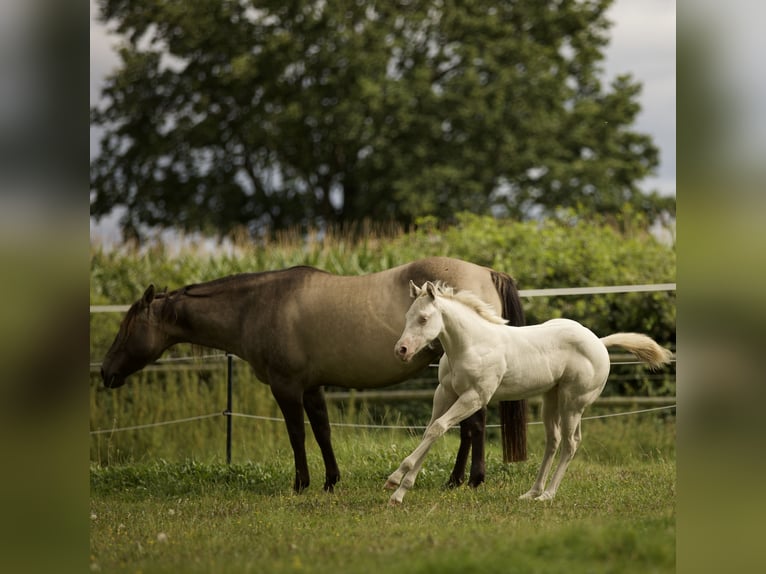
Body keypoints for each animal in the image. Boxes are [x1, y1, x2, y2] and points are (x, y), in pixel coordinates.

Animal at [99, 257, 528, 493]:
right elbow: (322, 431)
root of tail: (487, 272)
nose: (105, 372)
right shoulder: (311, 386)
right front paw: (330, 481)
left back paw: (468, 480)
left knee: (473, 427)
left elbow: (297, 435)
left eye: (127, 328)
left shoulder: (286, 386)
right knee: (467, 428)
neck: (257, 305)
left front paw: (301, 484)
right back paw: (458, 480)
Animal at [384, 280, 673, 505]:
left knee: (570, 443)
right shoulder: (444, 394)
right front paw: (399, 493)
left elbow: (437, 428)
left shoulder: (475, 397)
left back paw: (548, 495)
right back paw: (532, 492)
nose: (401, 350)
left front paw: (395, 479)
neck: (472, 345)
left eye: (424, 318)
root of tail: (599, 343)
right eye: (408, 316)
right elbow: (431, 430)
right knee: (553, 441)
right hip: (551, 399)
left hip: (572, 403)